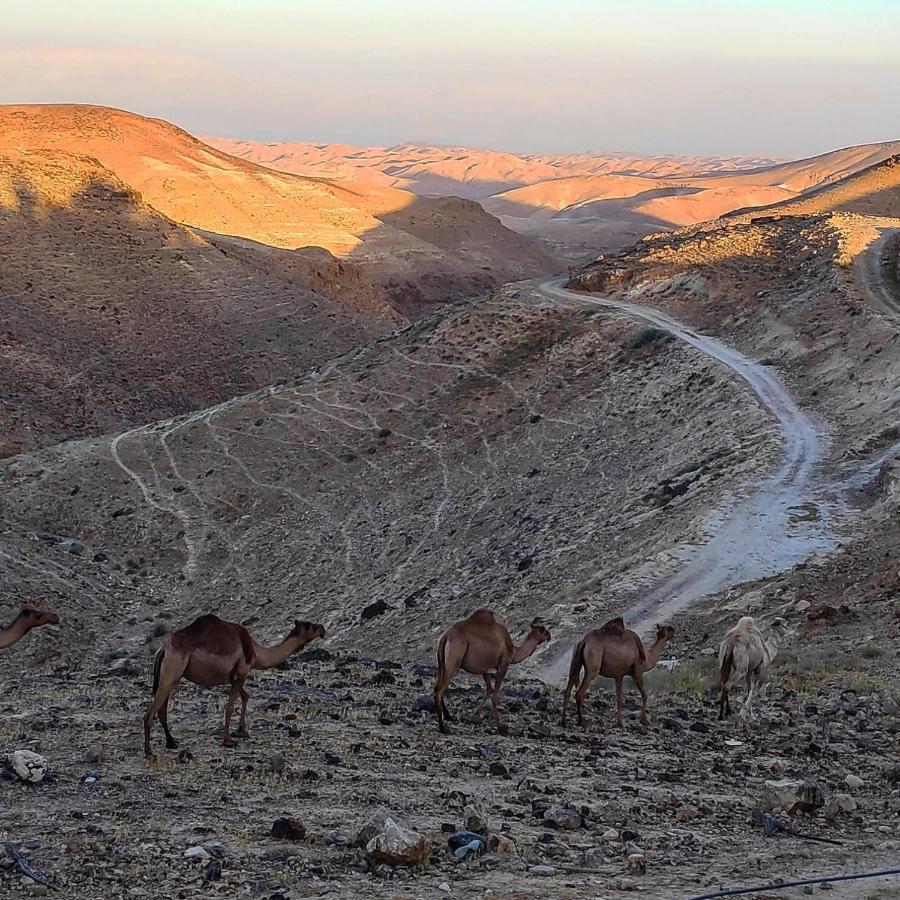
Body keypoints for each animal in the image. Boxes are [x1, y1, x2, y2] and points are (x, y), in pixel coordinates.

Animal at [146, 616, 328, 756]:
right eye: (310, 625)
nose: (323, 629)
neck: (256, 652)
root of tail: (163, 650)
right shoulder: (242, 671)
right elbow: (230, 707)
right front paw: (228, 741)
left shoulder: (234, 677)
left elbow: (245, 697)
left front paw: (242, 731)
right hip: (172, 670)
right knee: (151, 712)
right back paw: (149, 752)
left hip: (171, 676)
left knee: (162, 710)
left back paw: (171, 743)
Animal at [434, 608, 552, 736]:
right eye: (543, 629)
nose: (549, 635)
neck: (513, 651)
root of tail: (445, 637)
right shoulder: (503, 665)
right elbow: (494, 695)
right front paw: (500, 726)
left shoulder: (484, 669)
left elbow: (489, 690)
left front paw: (474, 716)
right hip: (454, 661)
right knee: (439, 689)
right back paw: (443, 727)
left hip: (441, 664)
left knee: (436, 686)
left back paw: (448, 717)